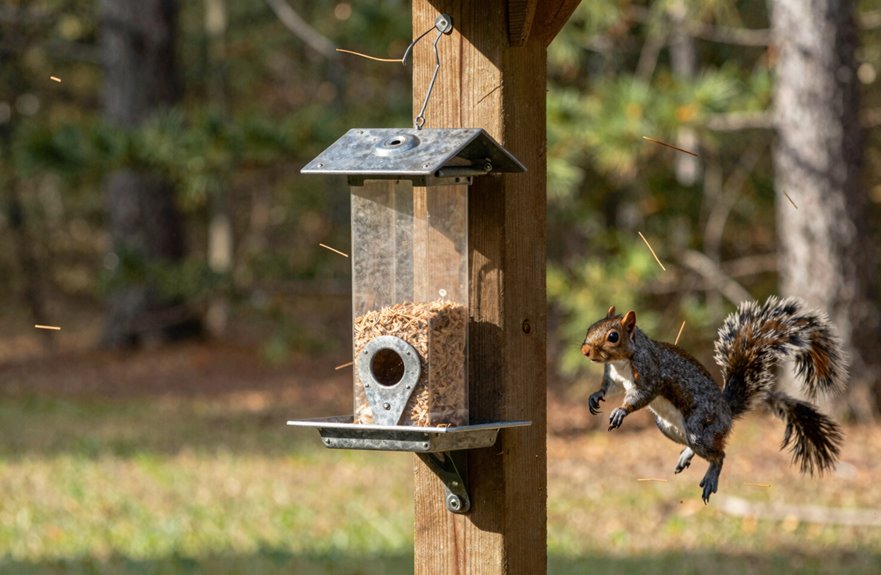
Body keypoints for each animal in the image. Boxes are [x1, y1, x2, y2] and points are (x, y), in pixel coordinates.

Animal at [581, 296, 847, 504]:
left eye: (613, 336)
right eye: (591, 327)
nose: (584, 350)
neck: (621, 362)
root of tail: (727, 410)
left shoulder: (650, 373)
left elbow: (642, 395)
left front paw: (621, 411)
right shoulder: (614, 377)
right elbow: (607, 387)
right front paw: (595, 396)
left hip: (701, 424)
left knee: (719, 454)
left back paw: (711, 476)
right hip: (667, 427)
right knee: (701, 445)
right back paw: (687, 455)